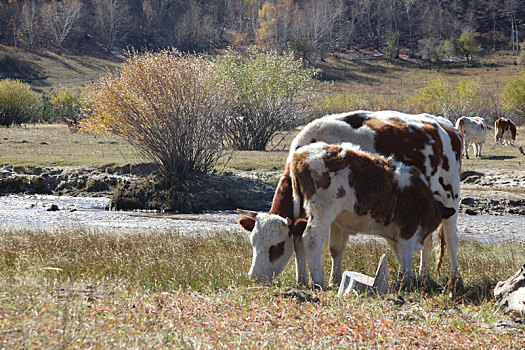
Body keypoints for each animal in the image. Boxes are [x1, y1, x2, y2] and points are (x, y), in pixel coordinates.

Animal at [235, 111, 460, 290]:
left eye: (277, 247)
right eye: (253, 243)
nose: (255, 278)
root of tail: (444, 126)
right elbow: (324, 247)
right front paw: (316, 280)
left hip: (451, 197)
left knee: (451, 239)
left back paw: (455, 279)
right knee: (427, 242)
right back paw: (424, 276)